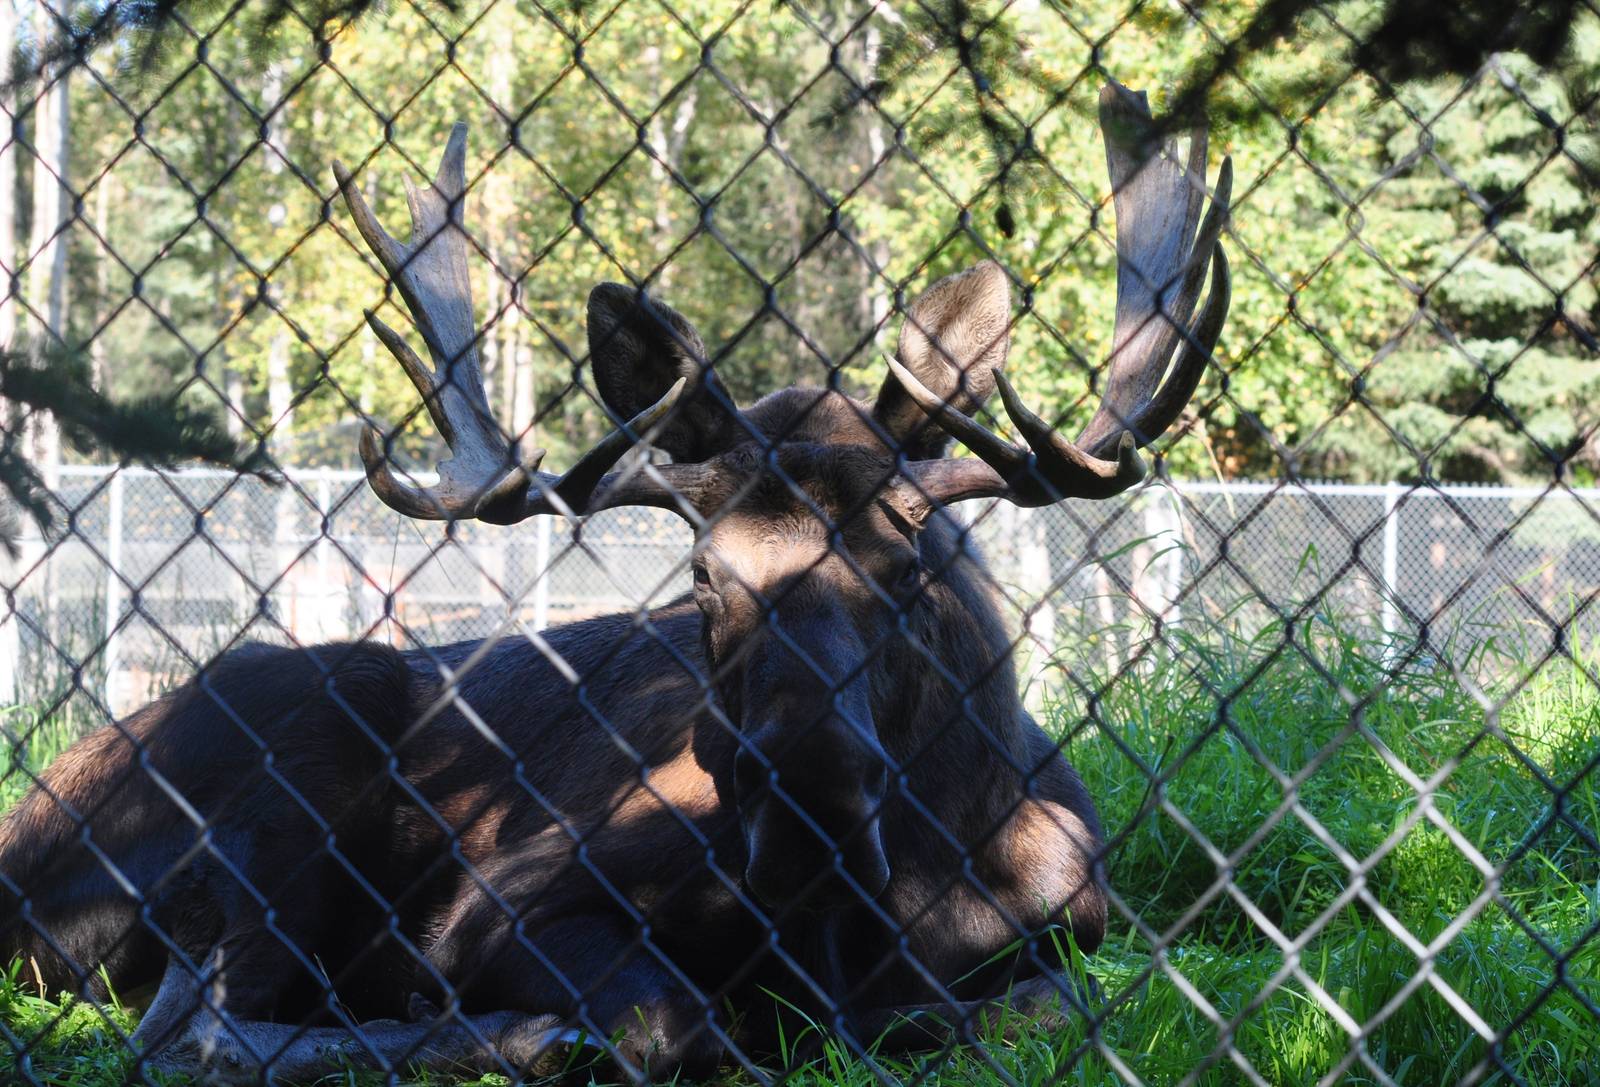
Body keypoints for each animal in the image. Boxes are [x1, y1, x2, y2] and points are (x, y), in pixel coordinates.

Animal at [0, 82, 1228, 1083]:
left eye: (904, 552)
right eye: (703, 572)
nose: (804, 797)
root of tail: (17, 843)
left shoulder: (1080, 926)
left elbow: (1030, 1007)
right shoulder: (509, 897)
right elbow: (678, 1024)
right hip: (281, 767)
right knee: (192, 1032)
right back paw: (506, 1035)